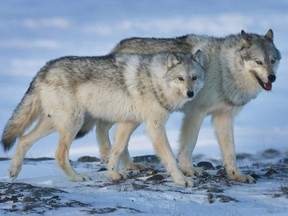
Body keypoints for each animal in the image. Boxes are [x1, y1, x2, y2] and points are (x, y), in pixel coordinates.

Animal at [1, 51, 206, 186]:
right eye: (180, 78)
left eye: (194, 78)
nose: (190, 93)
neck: (155, 81)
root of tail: (43, 69)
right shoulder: (154, 126)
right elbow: (170, 157)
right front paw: (182, 179)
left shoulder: (128, 123)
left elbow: (116, 150)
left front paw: (113, 174)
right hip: (73, 123)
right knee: (59, 154)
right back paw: (76, 177)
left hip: (56, 123)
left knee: (23, 139)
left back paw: (13, 171)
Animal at [97, 29, 282, 183]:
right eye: (258, 62)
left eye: (272, 61)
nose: (272, 77)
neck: (224, 70)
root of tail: (117, 47)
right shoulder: (196, 113)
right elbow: (190, 144)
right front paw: (189, 170)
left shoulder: (224, 117)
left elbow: (230, 151)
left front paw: (236, 175)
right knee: (102, 126)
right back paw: (108, 156)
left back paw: (128, 164)